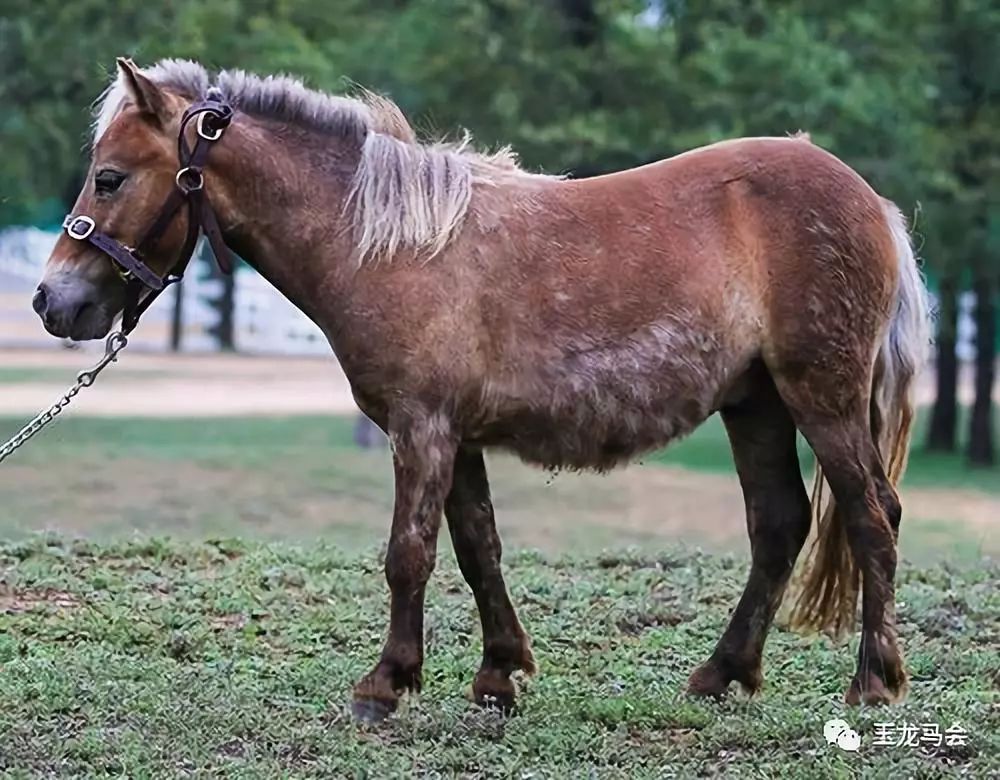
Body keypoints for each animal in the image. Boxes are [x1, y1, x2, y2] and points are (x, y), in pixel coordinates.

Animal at [37, 58, 928, 724]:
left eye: (110, 178)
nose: (53, 302)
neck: (389, 243)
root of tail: (870, 201)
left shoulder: (421, 427)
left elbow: (409, 554)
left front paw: (384, 684)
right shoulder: (456, 437)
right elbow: (478, 550)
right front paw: (499, 674)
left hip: (820, 396)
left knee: (870, 515)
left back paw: (873, 681)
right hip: (756, 404)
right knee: (778, 525)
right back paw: (723, 673)